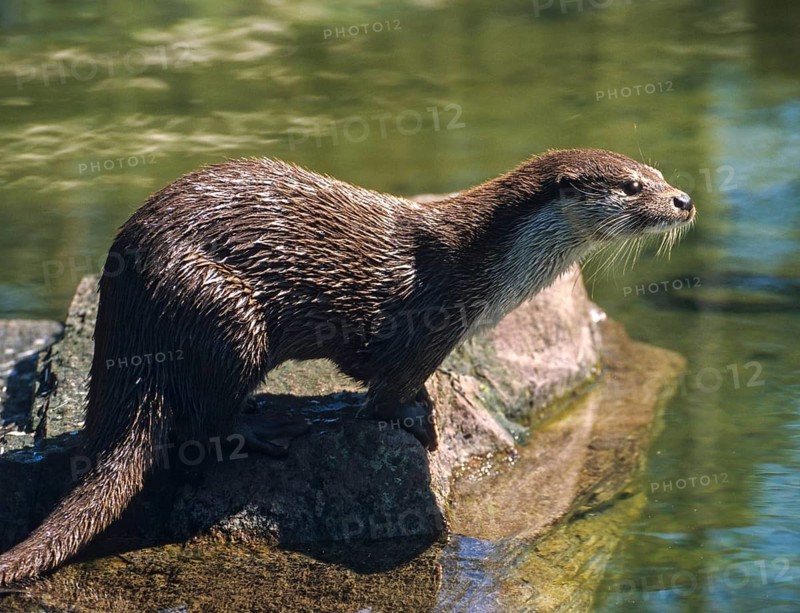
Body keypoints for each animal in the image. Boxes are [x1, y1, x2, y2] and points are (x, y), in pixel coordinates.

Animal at [0, 148, 694, 586]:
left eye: (658, 171)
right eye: (633, 187)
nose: (684, 199)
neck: (487, 268)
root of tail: (124, 316)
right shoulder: (425, 325)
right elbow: (384, 391)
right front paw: (418, 417)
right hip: (223, 309)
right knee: (204, 423)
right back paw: (269, 426)